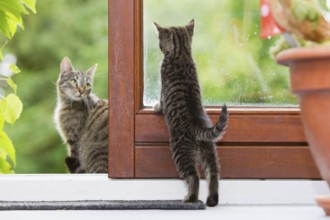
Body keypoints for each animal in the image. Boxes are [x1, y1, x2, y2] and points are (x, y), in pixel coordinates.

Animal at [154, 19, 227, 207]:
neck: (181, 54)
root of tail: (198, 126)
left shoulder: (163, 86)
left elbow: (161, 101)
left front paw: (156, 107)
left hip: (180, 151)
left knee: (193, 176)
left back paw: (190, 198)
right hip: (209, 150)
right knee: (213, 174)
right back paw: (212, 200)